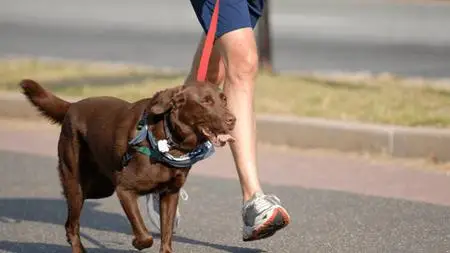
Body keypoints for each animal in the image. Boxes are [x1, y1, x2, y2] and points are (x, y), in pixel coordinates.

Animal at [18, 79, 236, 253]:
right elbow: (145, 234)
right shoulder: (125, 189)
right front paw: (137, 243)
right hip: (77, 183)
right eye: (206, 101)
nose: (233, 120)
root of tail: (72, 106)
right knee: (71, 225)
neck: (169, 140)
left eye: (224, 99)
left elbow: (166, 236)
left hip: (101, 187)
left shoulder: (170, 194)